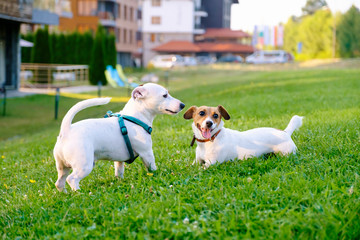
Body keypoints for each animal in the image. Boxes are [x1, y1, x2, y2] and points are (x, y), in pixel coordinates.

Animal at [53, 82, 186, 191]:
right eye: (165, 95)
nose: (183, 105)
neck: (135, 118)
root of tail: (66, 130)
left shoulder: (119, 161)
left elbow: (119, 172)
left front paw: (120, 182)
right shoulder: (147, 153)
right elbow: (152, 168)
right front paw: (157, 175)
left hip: (62, 167)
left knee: (59, 183)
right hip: (84, 165)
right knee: (72, 179)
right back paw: (79, 193)